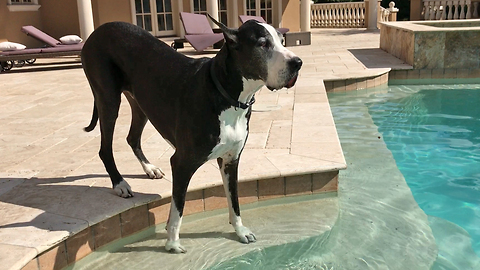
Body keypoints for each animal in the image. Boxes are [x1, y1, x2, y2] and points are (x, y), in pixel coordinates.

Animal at [80, 15, 302, 253]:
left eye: (281, 40)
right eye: (262, 44)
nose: (298, 63)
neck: (227, 94)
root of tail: (100, 29)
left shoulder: (231, 161)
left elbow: (234, 201)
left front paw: (240, 231)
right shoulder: (182, 163)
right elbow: (179, 207)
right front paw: (172, 242)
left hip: (141, 103)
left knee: (132, 138)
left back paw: (149, 168)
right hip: (108, 99)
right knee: (105, 148)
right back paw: (120, 184)